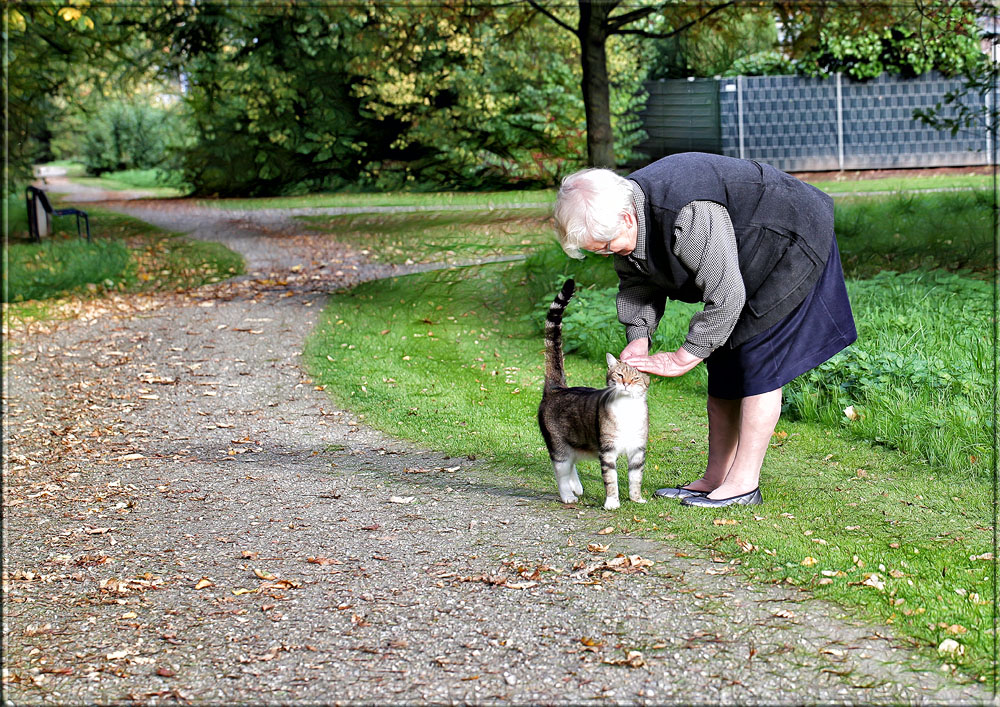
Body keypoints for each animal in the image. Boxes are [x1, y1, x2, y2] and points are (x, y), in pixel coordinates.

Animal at [536, 280, 652, 512]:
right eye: (619, 375)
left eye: (635, 378)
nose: (626, 383)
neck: (628, 410)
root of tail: (557, 388)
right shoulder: (607, 451)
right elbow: (611, 479)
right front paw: (612, 502)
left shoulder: (637, 450)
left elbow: (636, 478)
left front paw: (636, 498)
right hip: (558, 446)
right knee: (561, 472)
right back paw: (568, 495)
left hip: (576, 442)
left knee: (571, 465)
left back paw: (577, 487)